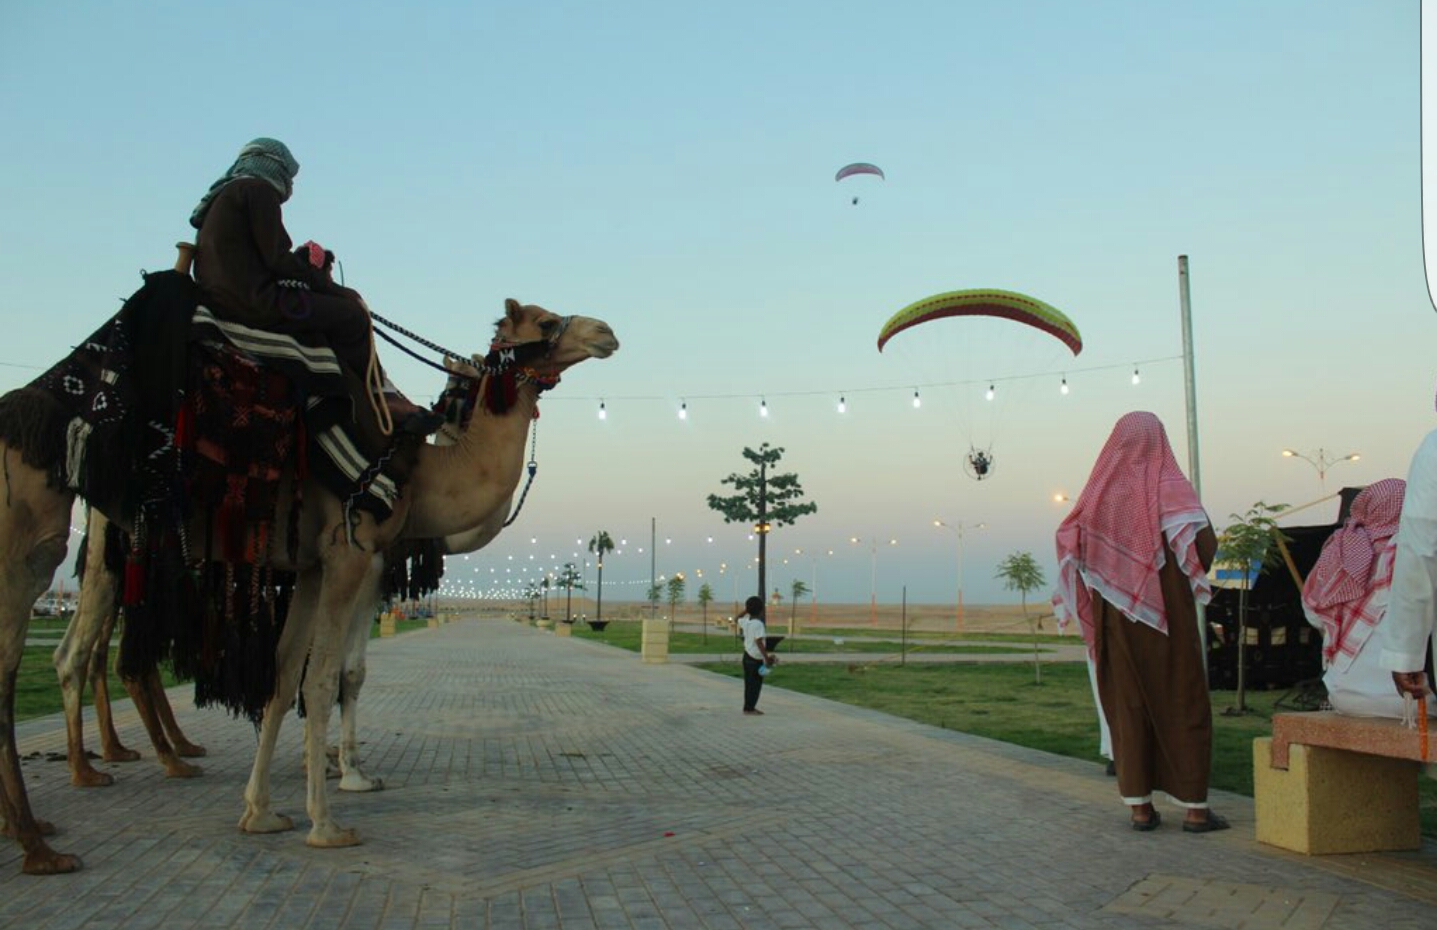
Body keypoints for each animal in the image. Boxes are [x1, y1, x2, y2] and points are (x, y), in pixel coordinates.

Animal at [0, 296, 617, 873]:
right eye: (544, 321)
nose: (605, 331)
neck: (420, 480)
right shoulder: (357, 556)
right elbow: (328, 676)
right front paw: (331, 809)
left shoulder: (314, 568)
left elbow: (284, 673)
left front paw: (262, 810)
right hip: (52, 535)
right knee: (57, 654)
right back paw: (50, 829)